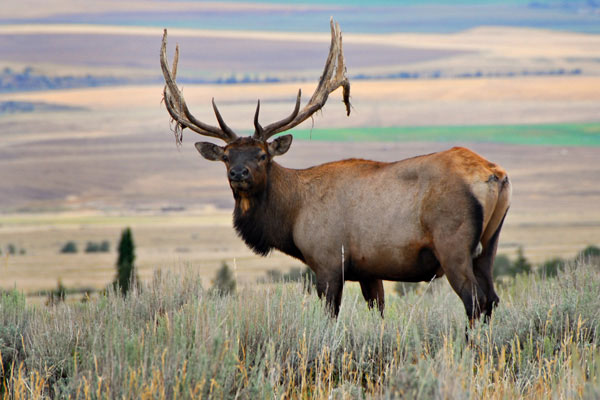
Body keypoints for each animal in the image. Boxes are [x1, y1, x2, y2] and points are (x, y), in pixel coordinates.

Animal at [159, 20, 510, 324]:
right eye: (226, 157)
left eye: (262, 155)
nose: (239, 174)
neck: (292, 216)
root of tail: (495, 174)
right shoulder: (369, 269)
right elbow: (379, 312)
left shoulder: (327, 260)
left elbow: (330, 317)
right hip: (489, 244)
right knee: (492, 299)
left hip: (453, 243)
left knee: (475, 301)